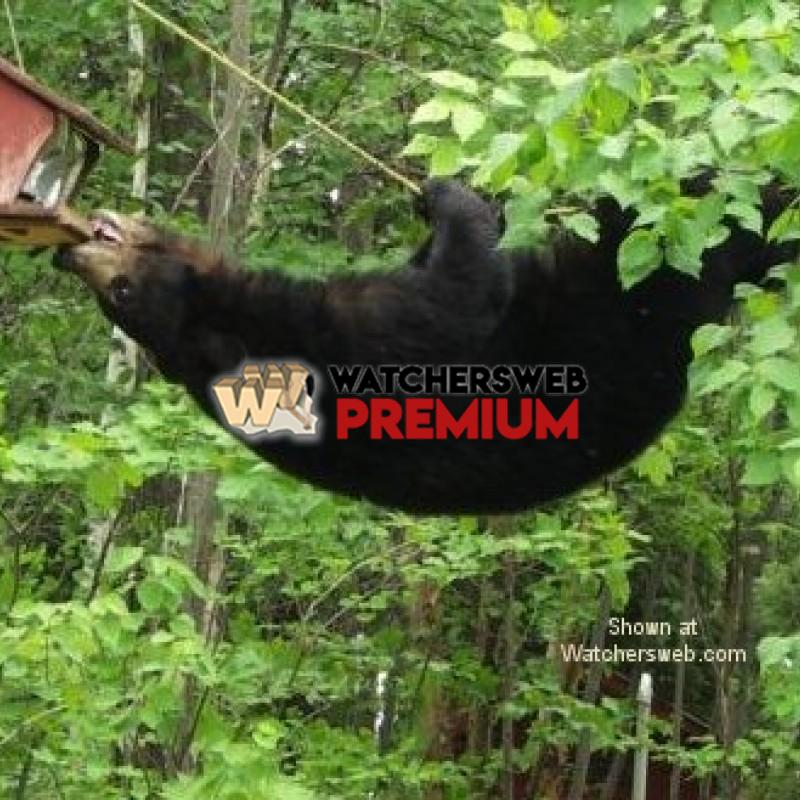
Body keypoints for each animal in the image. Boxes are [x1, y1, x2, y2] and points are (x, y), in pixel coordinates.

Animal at [54, 178, 797, 514]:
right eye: (121, 296)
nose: (73, 255)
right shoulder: (358, 337)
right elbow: (463, 294)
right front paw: (450, 198)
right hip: (635, 293)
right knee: (692, 228)